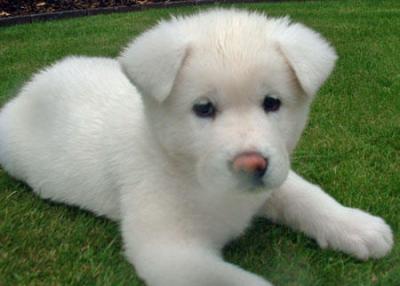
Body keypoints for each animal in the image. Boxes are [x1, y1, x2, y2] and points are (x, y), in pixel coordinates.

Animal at [0, 8, 394, 286]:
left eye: (272, 103)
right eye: (203, 108)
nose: (252, 164)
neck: (190, 173)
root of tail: (33, 84)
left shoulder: (276, 176)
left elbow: (306, 196)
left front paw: (355, 226)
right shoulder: (170, 250)